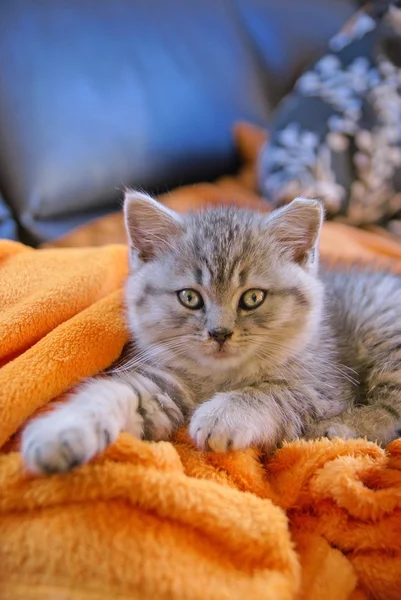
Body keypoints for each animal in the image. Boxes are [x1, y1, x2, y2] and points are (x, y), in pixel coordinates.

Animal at [21, 192, 400, 474]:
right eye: (190, 297)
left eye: (252, 298)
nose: (220, 332)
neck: (220, 377)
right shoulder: (163, 385)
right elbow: (113, 392)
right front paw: (62, 430)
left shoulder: (322, 386)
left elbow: (269, 392)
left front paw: (222, 416)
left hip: (383, 333)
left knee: (391, 415)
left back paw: (335, 429)